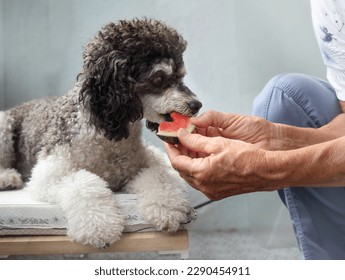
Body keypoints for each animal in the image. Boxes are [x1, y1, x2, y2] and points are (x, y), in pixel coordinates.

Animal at [0, 18, 202, 247]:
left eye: (181, 76)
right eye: (159, 78)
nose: (197, 105)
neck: (110, 139)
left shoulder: (148, 162)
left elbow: (159, 176)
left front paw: (168, 208)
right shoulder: (50, 173)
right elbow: (84, 184)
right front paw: (99, 227)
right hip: (4, 125)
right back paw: (7, 177)